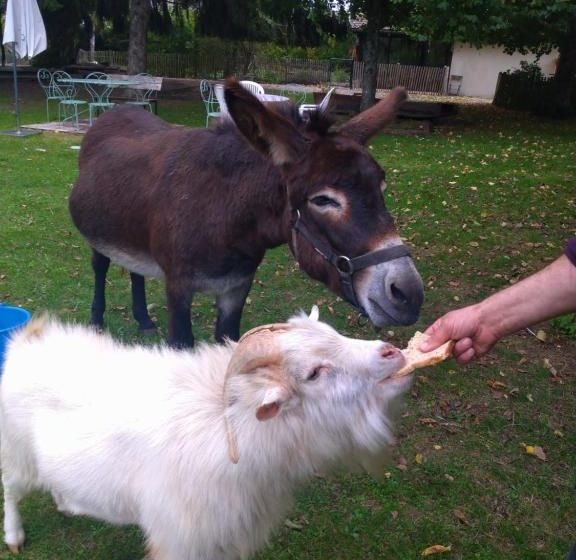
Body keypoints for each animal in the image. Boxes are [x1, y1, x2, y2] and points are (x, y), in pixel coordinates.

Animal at [2, 308, 412, 556]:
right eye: (313, 373)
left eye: (333, 332)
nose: (392, 352)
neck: (230, 423)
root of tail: (27, 339)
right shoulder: (180, 540)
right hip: (16, 453)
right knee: (10, 490)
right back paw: (14, 536)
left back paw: (66, 502)